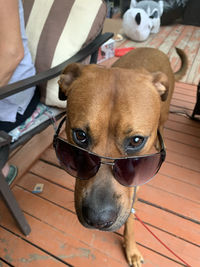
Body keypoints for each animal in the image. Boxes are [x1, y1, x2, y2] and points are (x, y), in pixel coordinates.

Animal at [57, 48, 187, 267]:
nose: (98, 219)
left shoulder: (134, 186)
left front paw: (131, 247)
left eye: (136, 140)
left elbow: (131, 217)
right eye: (80, 135)